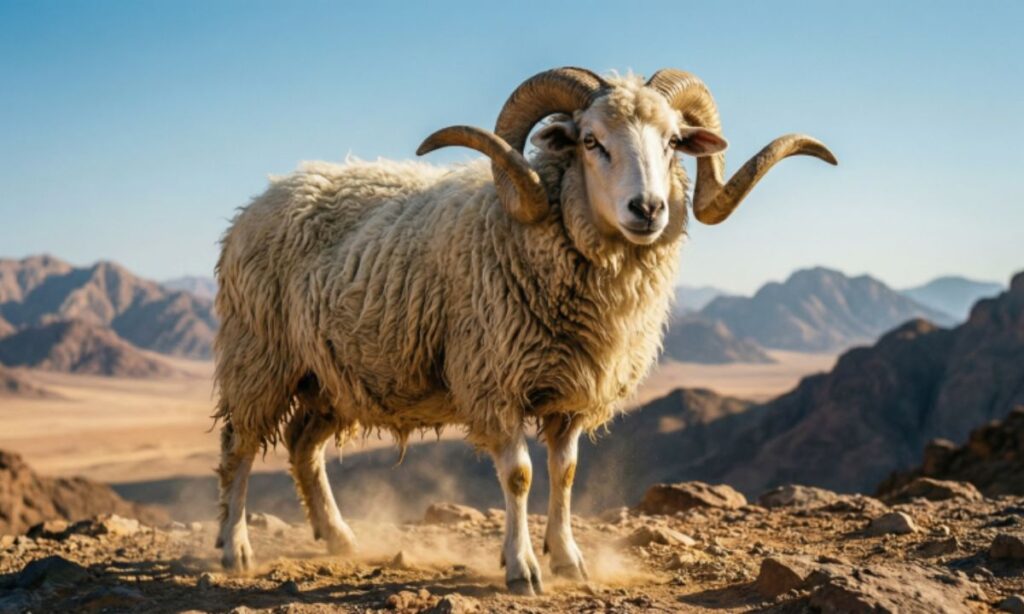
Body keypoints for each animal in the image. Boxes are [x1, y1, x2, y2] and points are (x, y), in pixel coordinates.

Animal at [212, 66, 836, 594]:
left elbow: (565, 473)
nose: (648, 209)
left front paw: (569, 560)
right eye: (591, 141)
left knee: (302, 446)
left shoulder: (572, 393)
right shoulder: (496, 383)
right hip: (259, 357)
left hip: (334, 376)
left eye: (672, 142)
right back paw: (234, 549)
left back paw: (339, 538)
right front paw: (522, 568)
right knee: (239, 448)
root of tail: (268, 193)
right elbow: (518, 476)